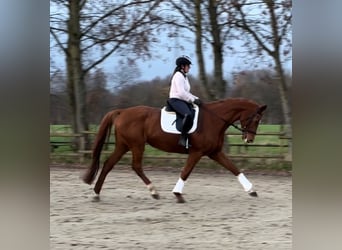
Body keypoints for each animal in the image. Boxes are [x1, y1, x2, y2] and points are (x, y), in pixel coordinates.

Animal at [83, 97, 268, 203]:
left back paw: (96, 194)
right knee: (136, 166)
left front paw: (251, 190)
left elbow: (234, 169)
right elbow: (186, 172)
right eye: (256, 119)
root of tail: (122, 112)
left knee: (108, 164)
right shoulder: (197, 152)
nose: (249, 139)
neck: (213, 120)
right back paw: (154, 191)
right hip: (136, 145)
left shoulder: (214, 152)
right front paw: (178, 194)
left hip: (124, 145)